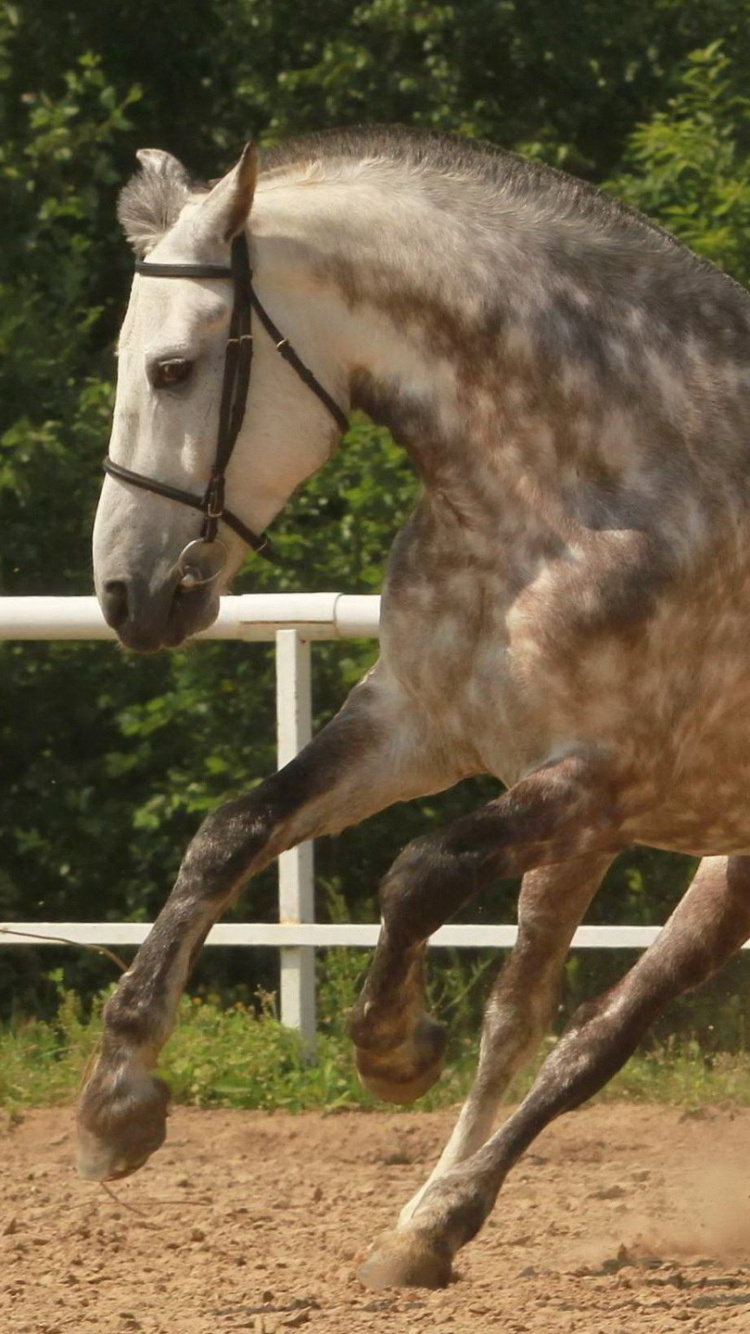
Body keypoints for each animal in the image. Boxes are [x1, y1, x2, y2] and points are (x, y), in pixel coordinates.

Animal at [77, 127, 750, 1290]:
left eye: (174, 369)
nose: (127, 594)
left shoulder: (605, 781)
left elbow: (417, 870)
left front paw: (392, 1045)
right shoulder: (416, 727)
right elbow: (233, 832)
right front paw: (117, 1099)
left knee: (596, 1032)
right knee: (546, 1023)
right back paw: (425, 1223)